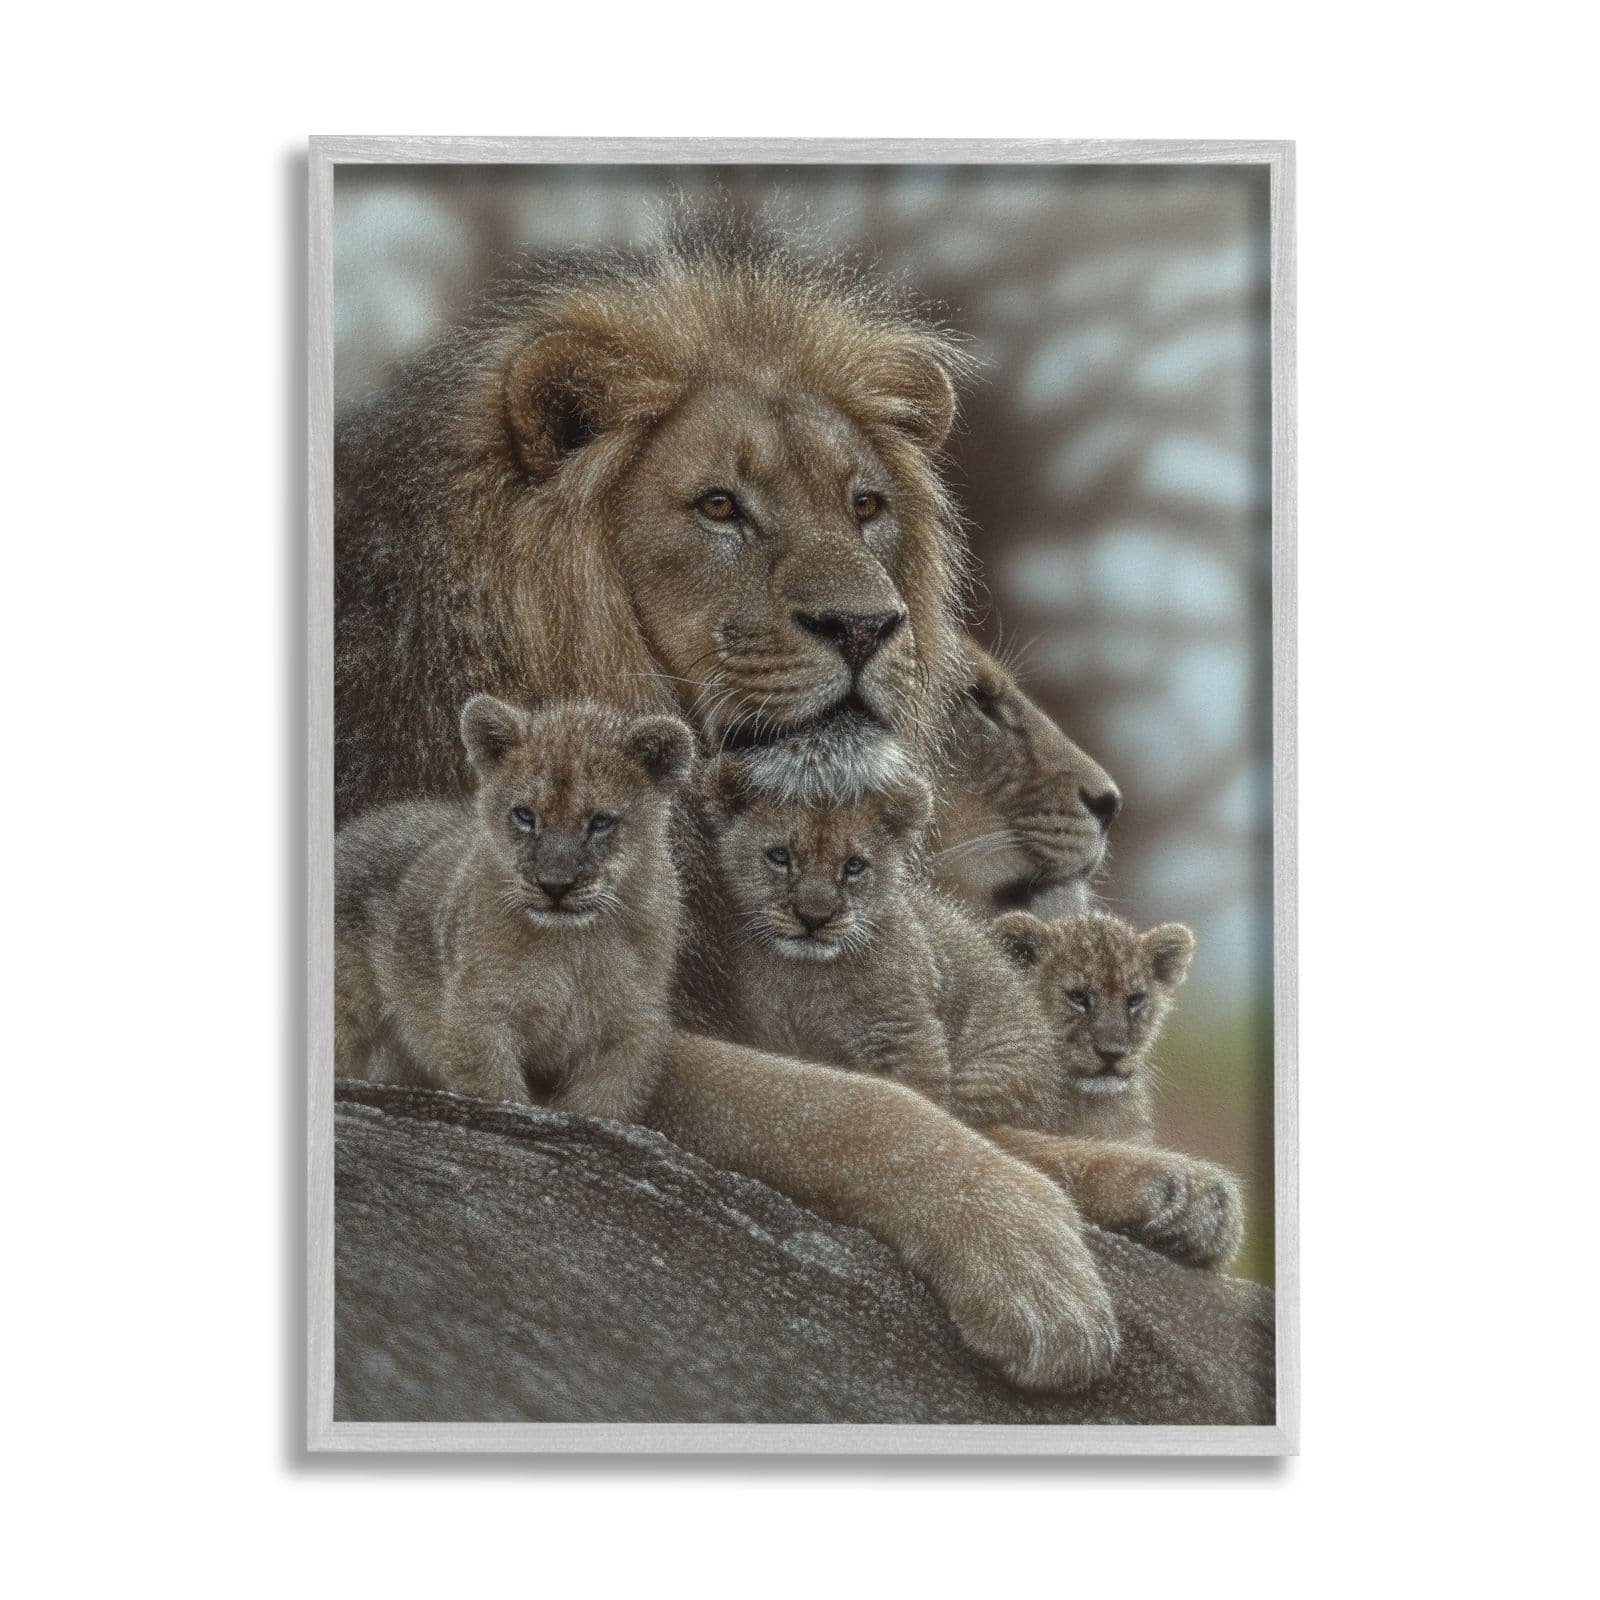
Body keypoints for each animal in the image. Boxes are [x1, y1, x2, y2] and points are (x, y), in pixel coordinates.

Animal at [333, 212, 1220, 1391]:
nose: (867, 625)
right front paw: (1029, 1255)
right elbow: (839, 1107)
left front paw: (1163, 1187)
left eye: (866, 507)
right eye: (720, 506)